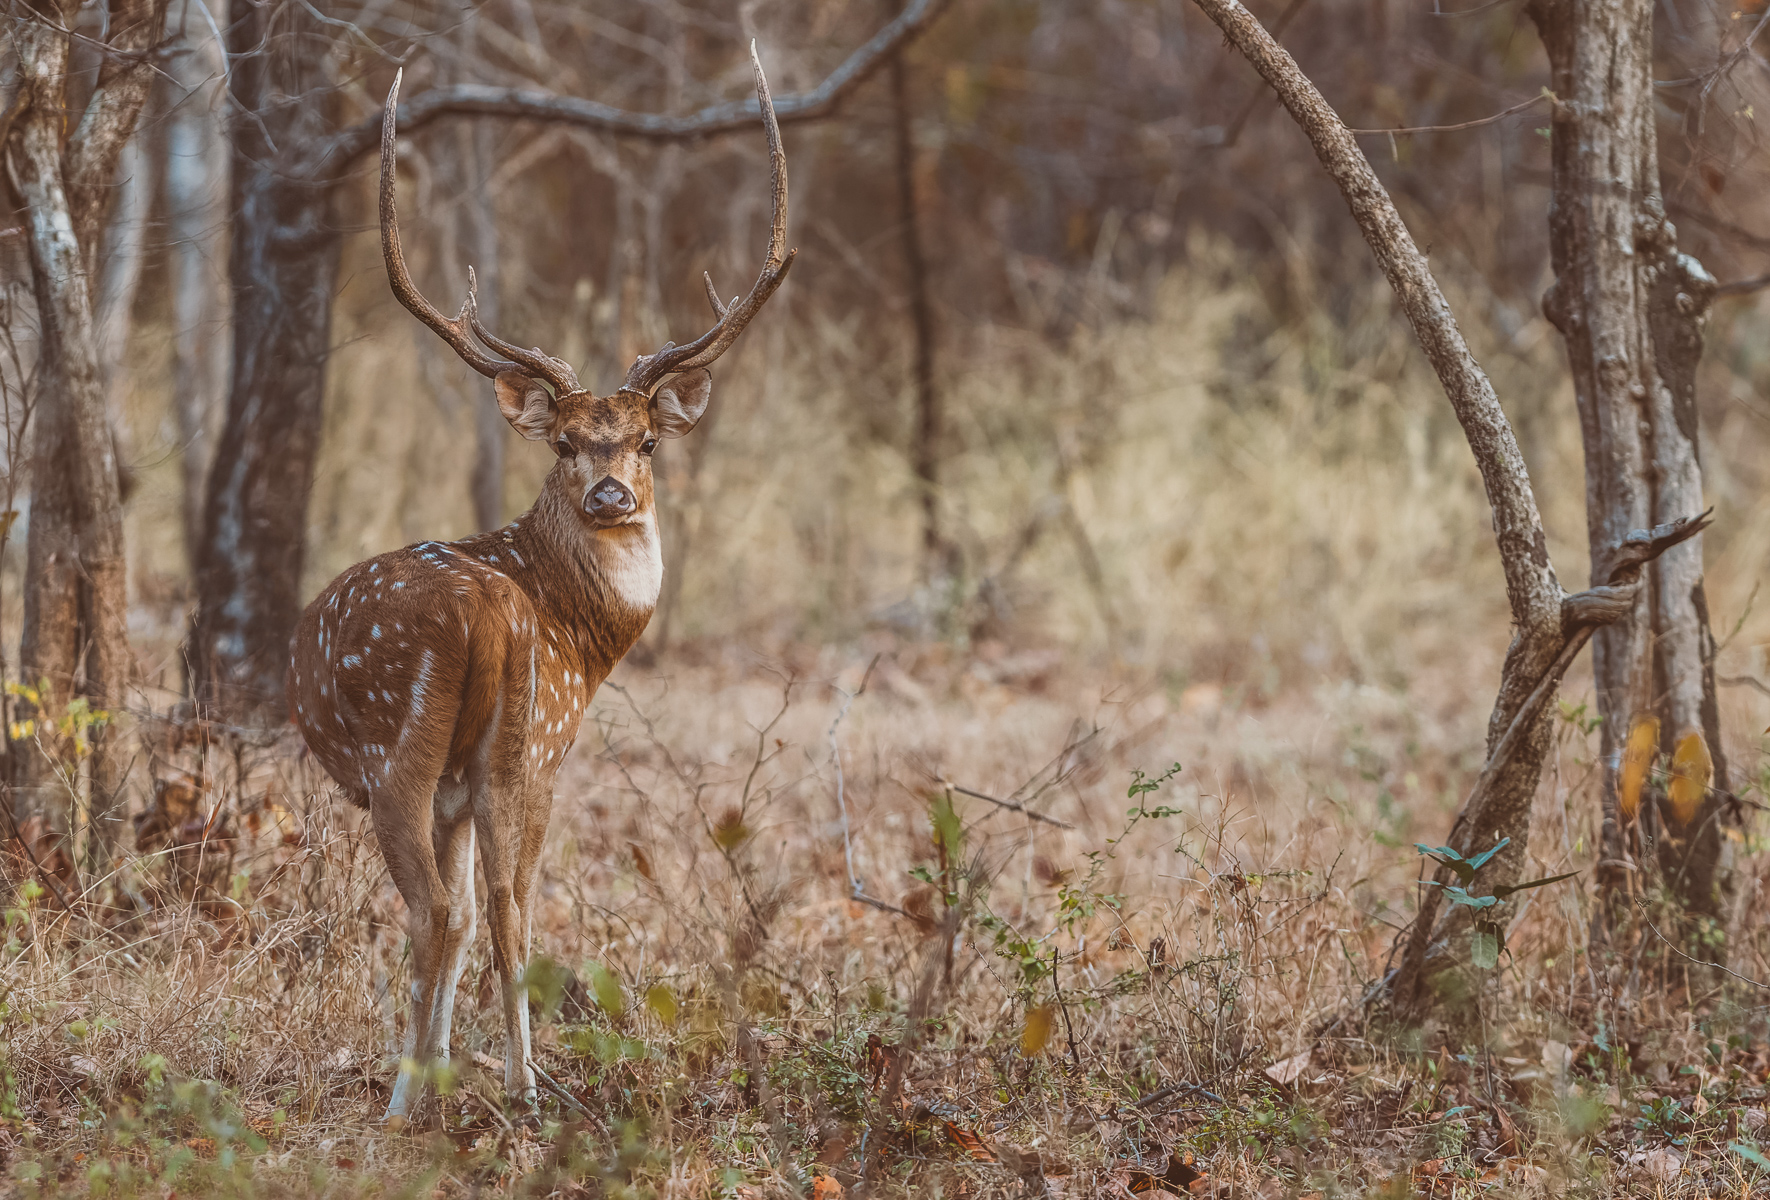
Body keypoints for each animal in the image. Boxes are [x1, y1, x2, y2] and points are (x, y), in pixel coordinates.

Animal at [288, 48, 793, 1125]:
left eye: (646, 439)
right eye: (565, 440)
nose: (610, 490)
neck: (579, 634)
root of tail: (486, 617)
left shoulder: (500, 769)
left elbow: (472, 915)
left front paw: (441, 1071)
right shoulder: (499, 771)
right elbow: (489, 915)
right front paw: (452, 1066)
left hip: (431, 754)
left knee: (451, 911)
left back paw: (428, 1099)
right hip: (501, 752)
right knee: (485, 910)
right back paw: (491, 1085)